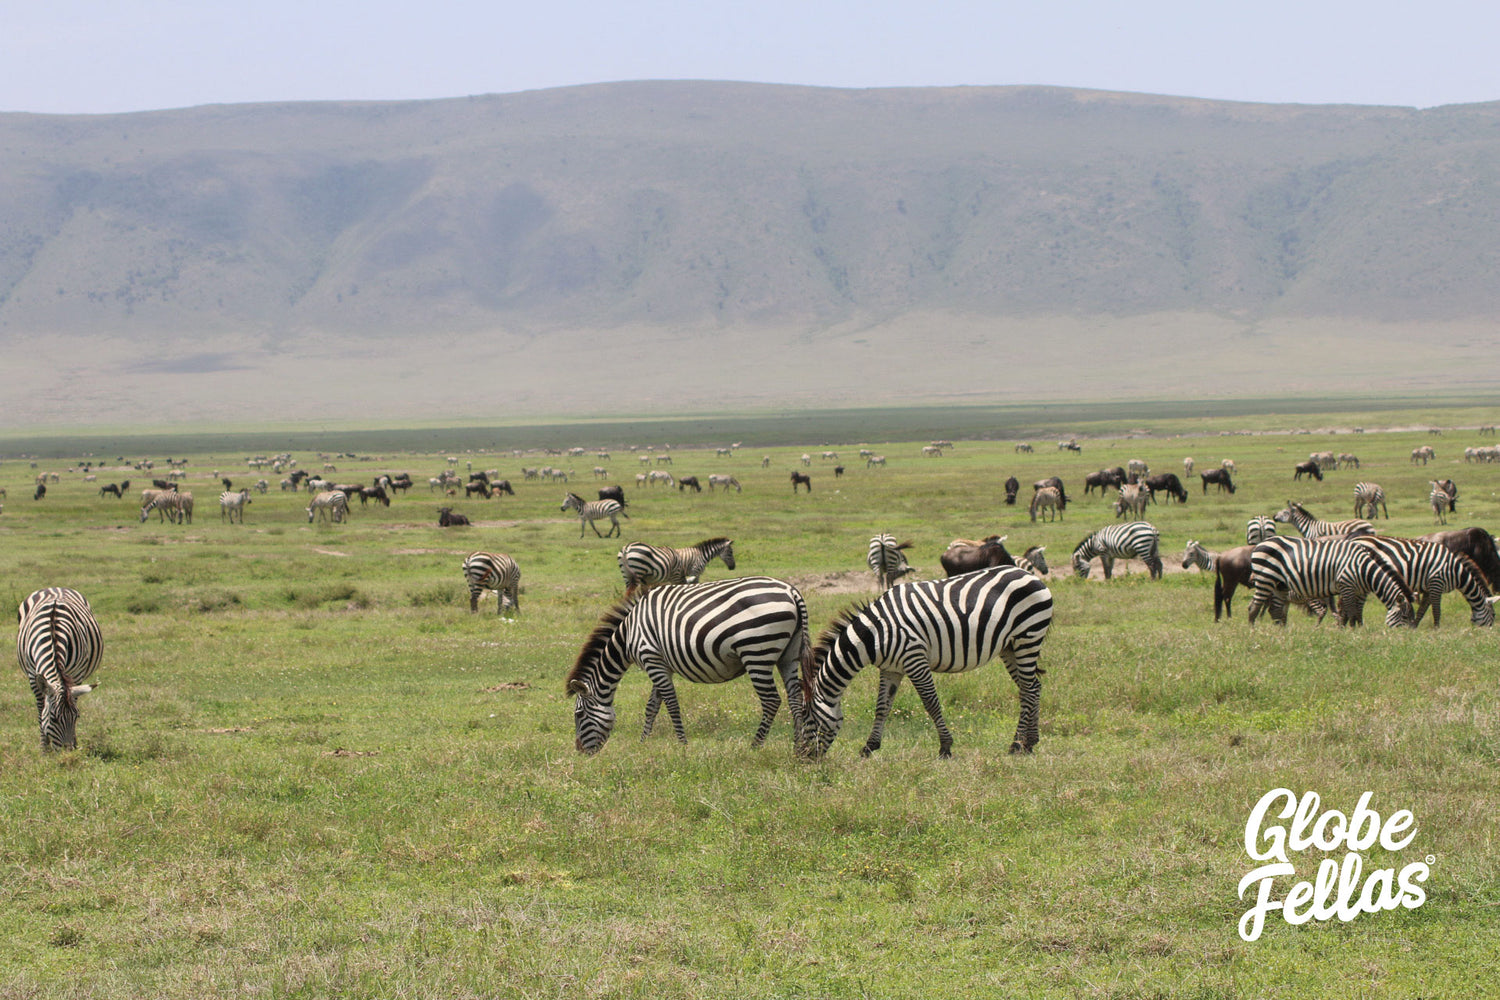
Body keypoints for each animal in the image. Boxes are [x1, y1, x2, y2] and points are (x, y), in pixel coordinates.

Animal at [15, 587, 103, 749]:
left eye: (77, 717)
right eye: (54, 719)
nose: (68, 751)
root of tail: (54, 587)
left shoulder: (76, 674)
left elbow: (74, 699)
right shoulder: (32, 675)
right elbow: (41, 709)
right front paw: (44, 748)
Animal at [567, 575, 816, 755]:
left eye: (579, 714)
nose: (580, 752)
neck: (629, 633)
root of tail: (791, 591)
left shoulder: (651, 658)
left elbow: (671, 704)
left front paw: (682, 745)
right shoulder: (660, 664)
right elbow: (652, 706)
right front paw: (643, 742)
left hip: (757, 652)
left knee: (772, 701)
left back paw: (755, 746)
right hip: (788, 655)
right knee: (795, 699)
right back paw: (798, 747)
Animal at [810, 563, 1056, 758]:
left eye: (808, 721)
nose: (805, 760)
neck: (876, 633)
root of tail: (1030, 575)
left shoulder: (914, 658)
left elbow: (931, 703)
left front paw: (945, 747)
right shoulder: (891, 669)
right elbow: (882, 707)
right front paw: (869, 747)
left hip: (1028, 636)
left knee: (1029, 689)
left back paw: (1018, 745)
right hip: (1010, 647)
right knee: (1032, 687)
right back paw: (1028, 743)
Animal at [1248, 539, 1410, 626]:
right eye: (1405, 617)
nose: (1406, 638)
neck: (1362, 568)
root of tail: (1260, 543)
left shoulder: (1355, 590)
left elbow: (1353, 612)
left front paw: (1355, 629)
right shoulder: (1346, 585)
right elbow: (1351, 612)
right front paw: (1353, 632)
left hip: (1280, 585)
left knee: (1275, 610)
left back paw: (1282, 633)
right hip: (1265, 579)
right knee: (1254, 607)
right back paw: (1252, 631)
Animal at [1356, 530, 1494, 626]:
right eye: (1493, 616)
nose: (1488, 632)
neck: (1457, 571)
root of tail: (1356, 538)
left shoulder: (1429, 588)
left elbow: (1422, 610)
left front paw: (1413, 627)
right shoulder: (1436, 583)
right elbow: (1436, 611)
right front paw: (1436, 629)